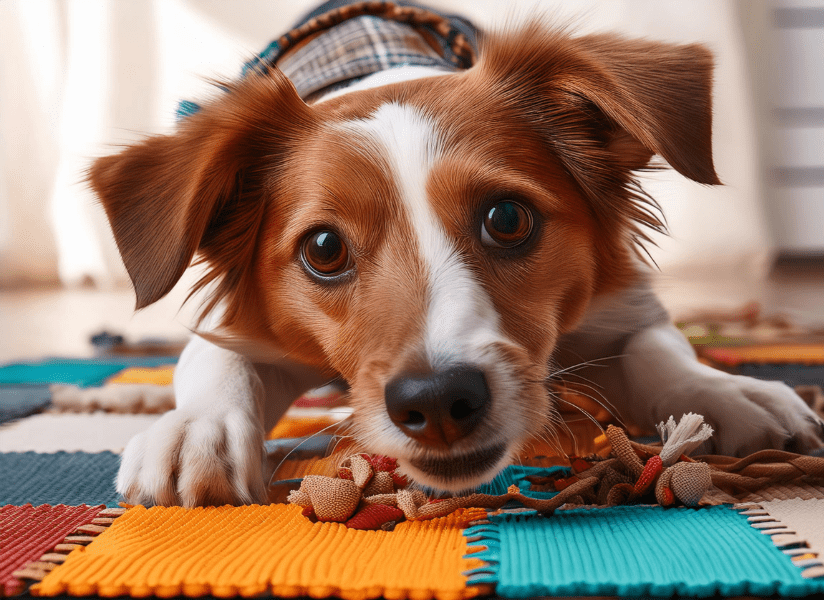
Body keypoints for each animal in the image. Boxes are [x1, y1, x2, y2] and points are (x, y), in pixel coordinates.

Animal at [90, 1, 824, 506]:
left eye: (507, 218)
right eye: (324, 248)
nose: (438, 401)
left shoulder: (617, 306)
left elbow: (659, 352)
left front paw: (726, 394)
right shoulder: (246, 320)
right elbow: (215, 362)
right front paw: (196, 432)